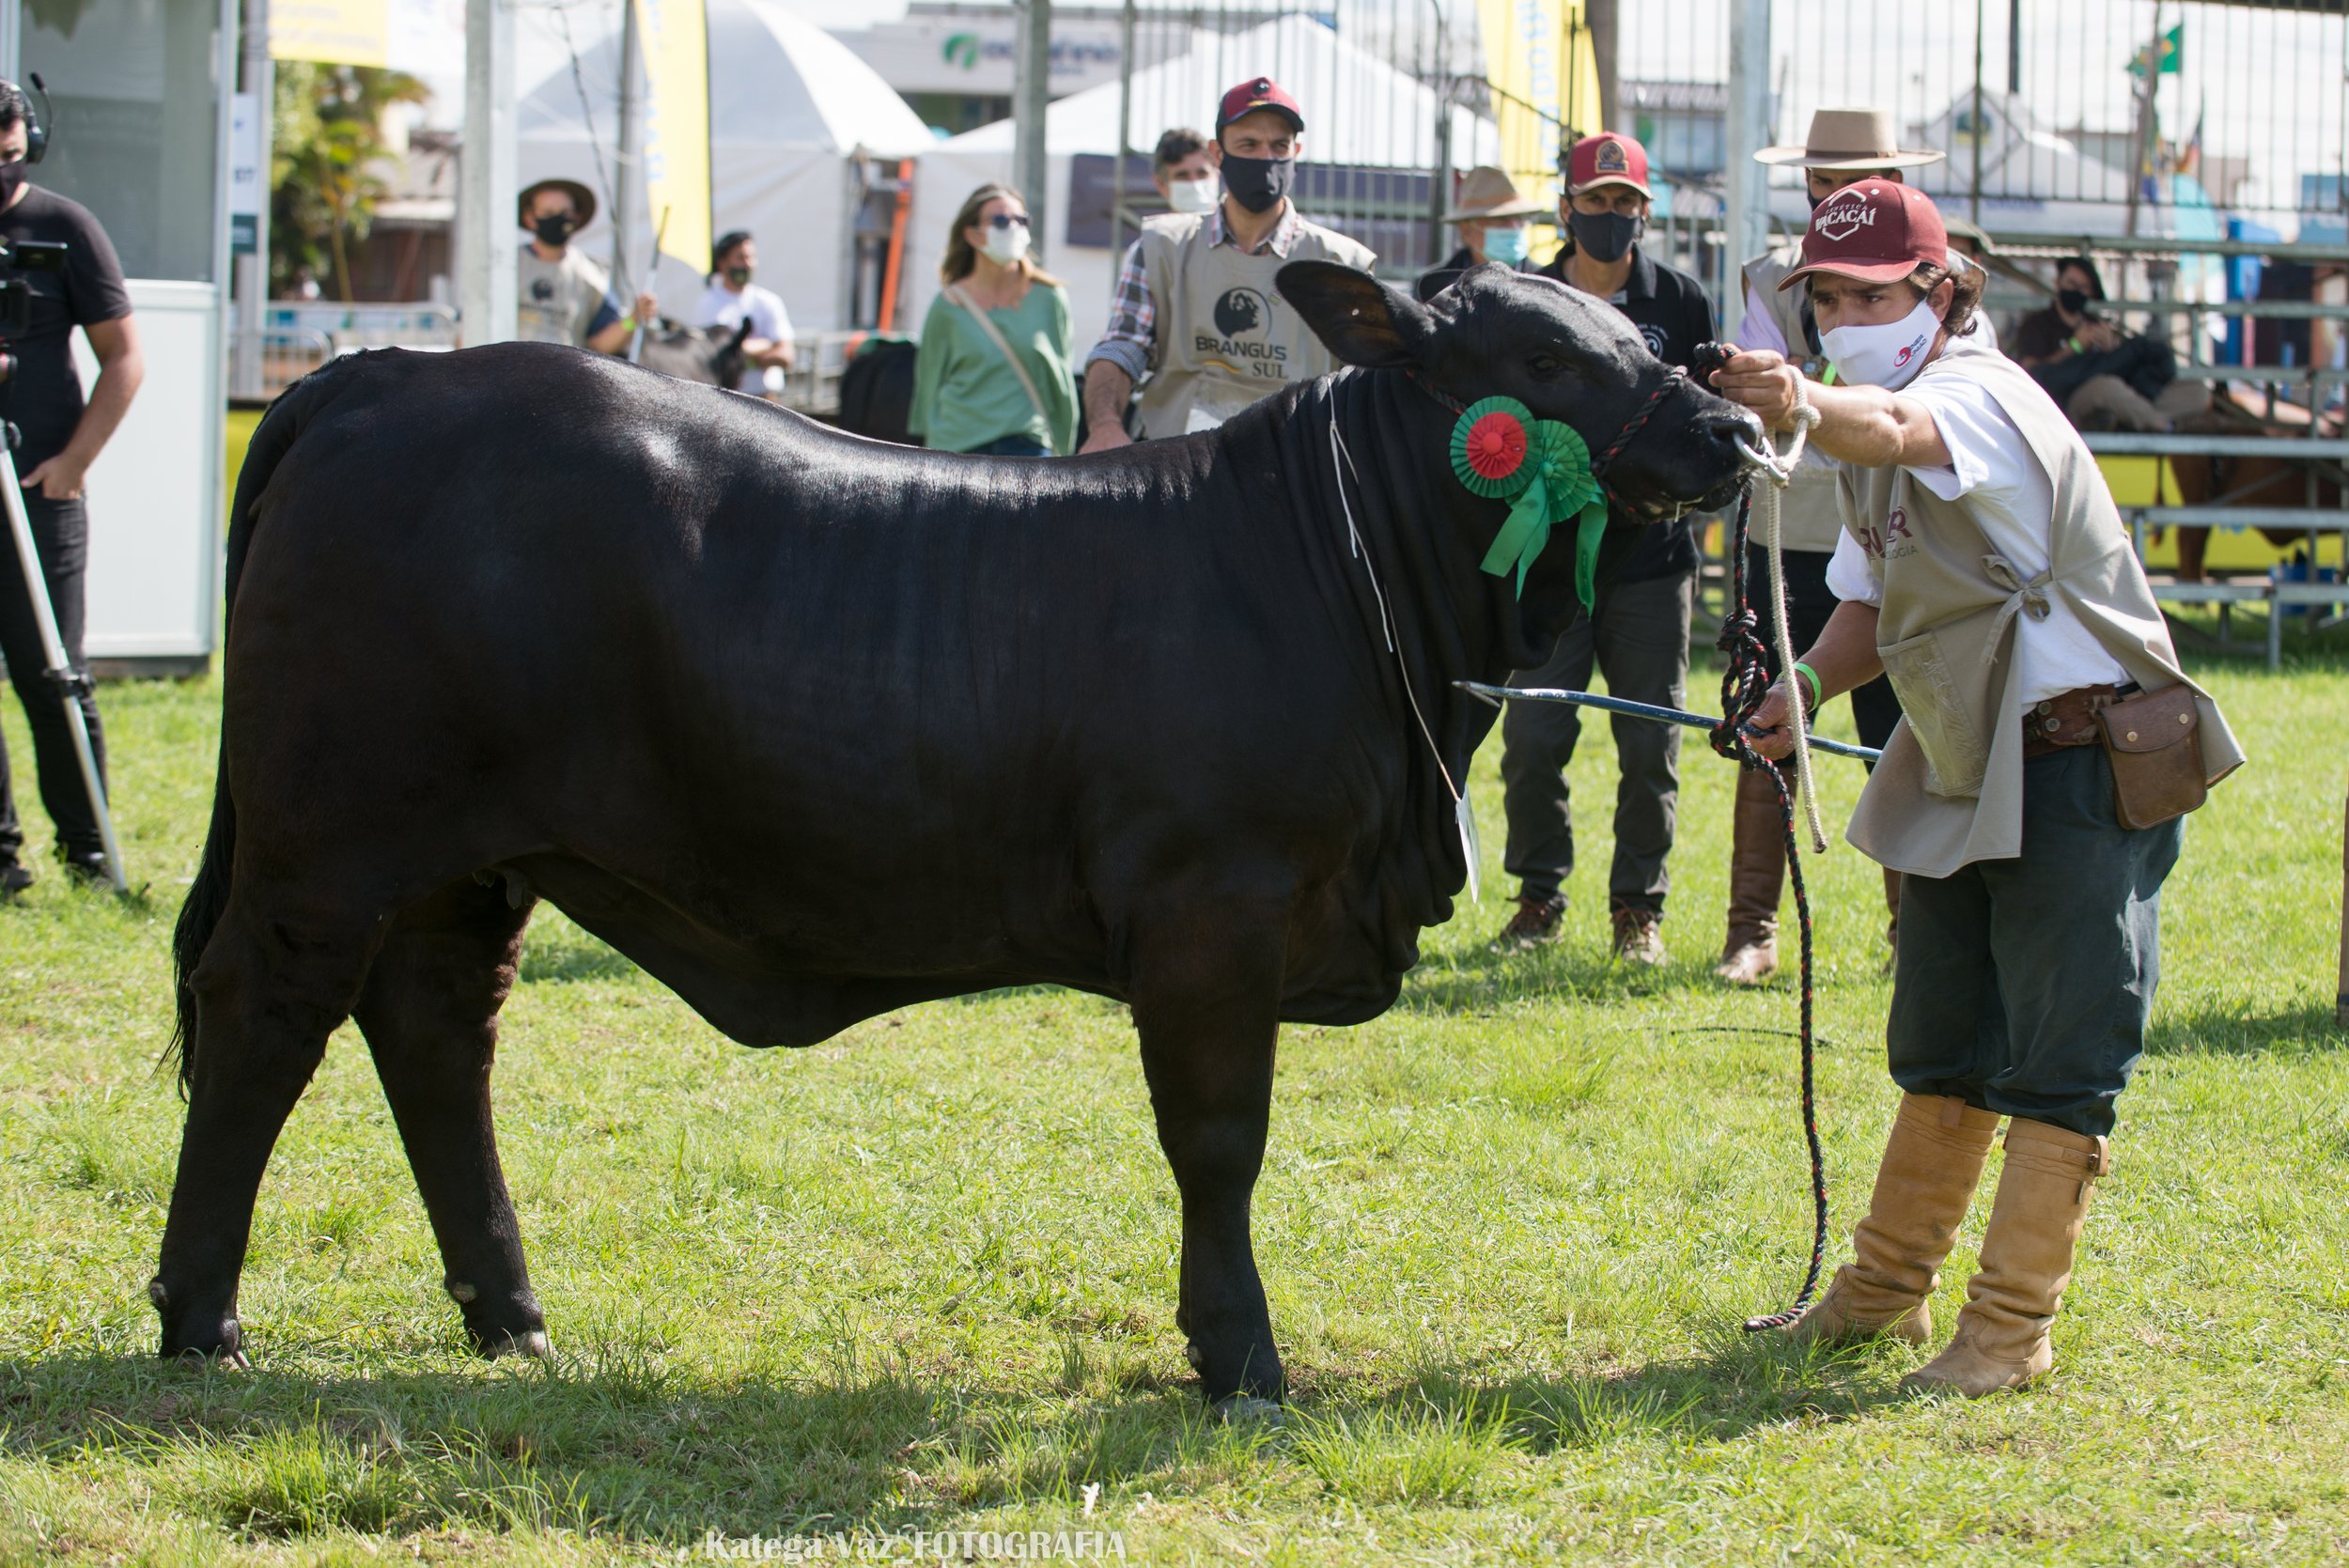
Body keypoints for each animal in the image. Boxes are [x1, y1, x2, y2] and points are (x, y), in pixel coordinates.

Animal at [151, 260, 1766, 1408]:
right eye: (1544, 358)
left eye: (1646, 332)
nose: (1740, 426)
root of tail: (386, 377)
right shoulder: (1214, 911)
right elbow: (1218, 1140)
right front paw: (1240, 1357)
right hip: (327, 843)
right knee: (263, 1021)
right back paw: (202, 1319)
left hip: (468, 862)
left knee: (435, 1034)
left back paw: (512, 1319)